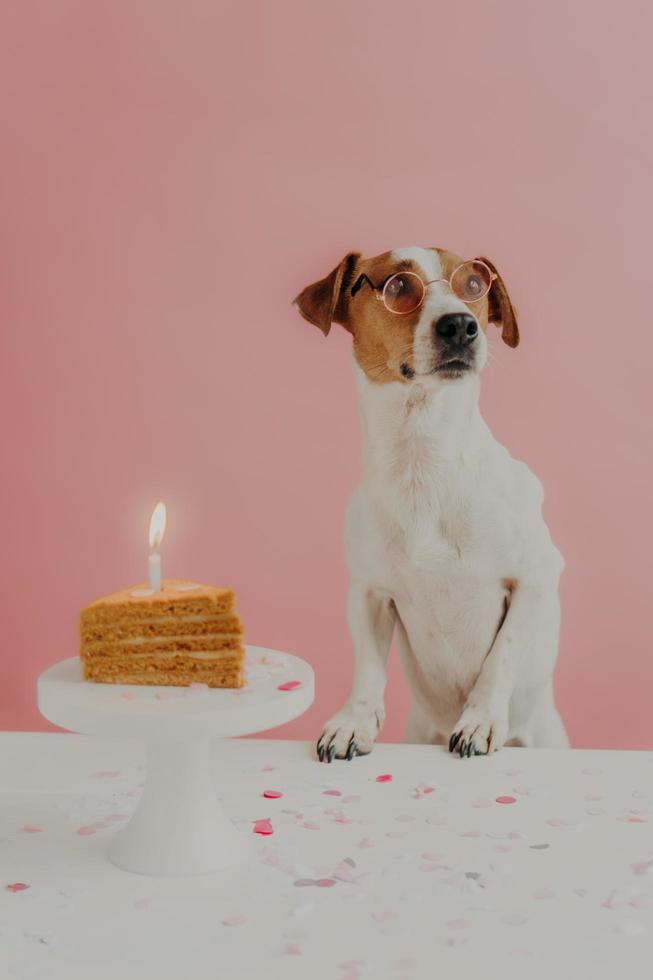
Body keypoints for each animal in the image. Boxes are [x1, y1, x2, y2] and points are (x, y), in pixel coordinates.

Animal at [292, 247, 568, 764]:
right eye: (398, 285)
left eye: (474, 284)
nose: (460, 325)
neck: (423, 458)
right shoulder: (369, 593)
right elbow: (368, 666)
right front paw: (353, 722)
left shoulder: (536, 578)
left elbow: (502, 654)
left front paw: (480, 720)